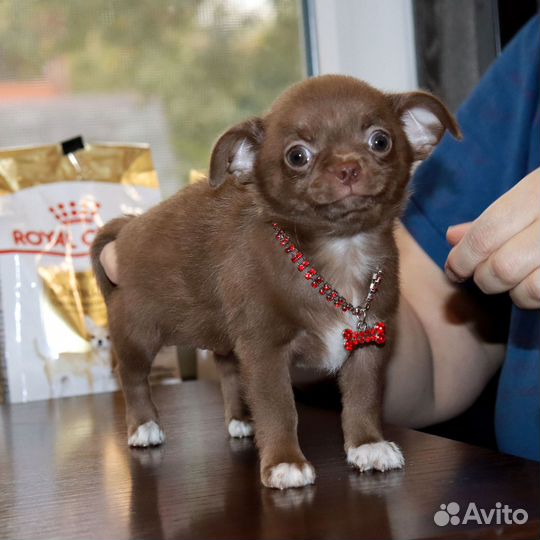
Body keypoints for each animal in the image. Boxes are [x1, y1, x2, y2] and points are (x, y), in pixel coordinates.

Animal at [92, 75, 460, 490]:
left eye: (380, 141)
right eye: (297, 156)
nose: (347, 167)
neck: (341, 250)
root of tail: (128, 227)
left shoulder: (368, 341)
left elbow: (363, 397)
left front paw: (367, 444)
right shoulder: (265, 350)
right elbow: (279, 408)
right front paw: (285, 461)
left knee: (228, 368)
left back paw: (240, 419)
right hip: (138, 333)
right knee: (132, 376)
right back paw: (143, 427)